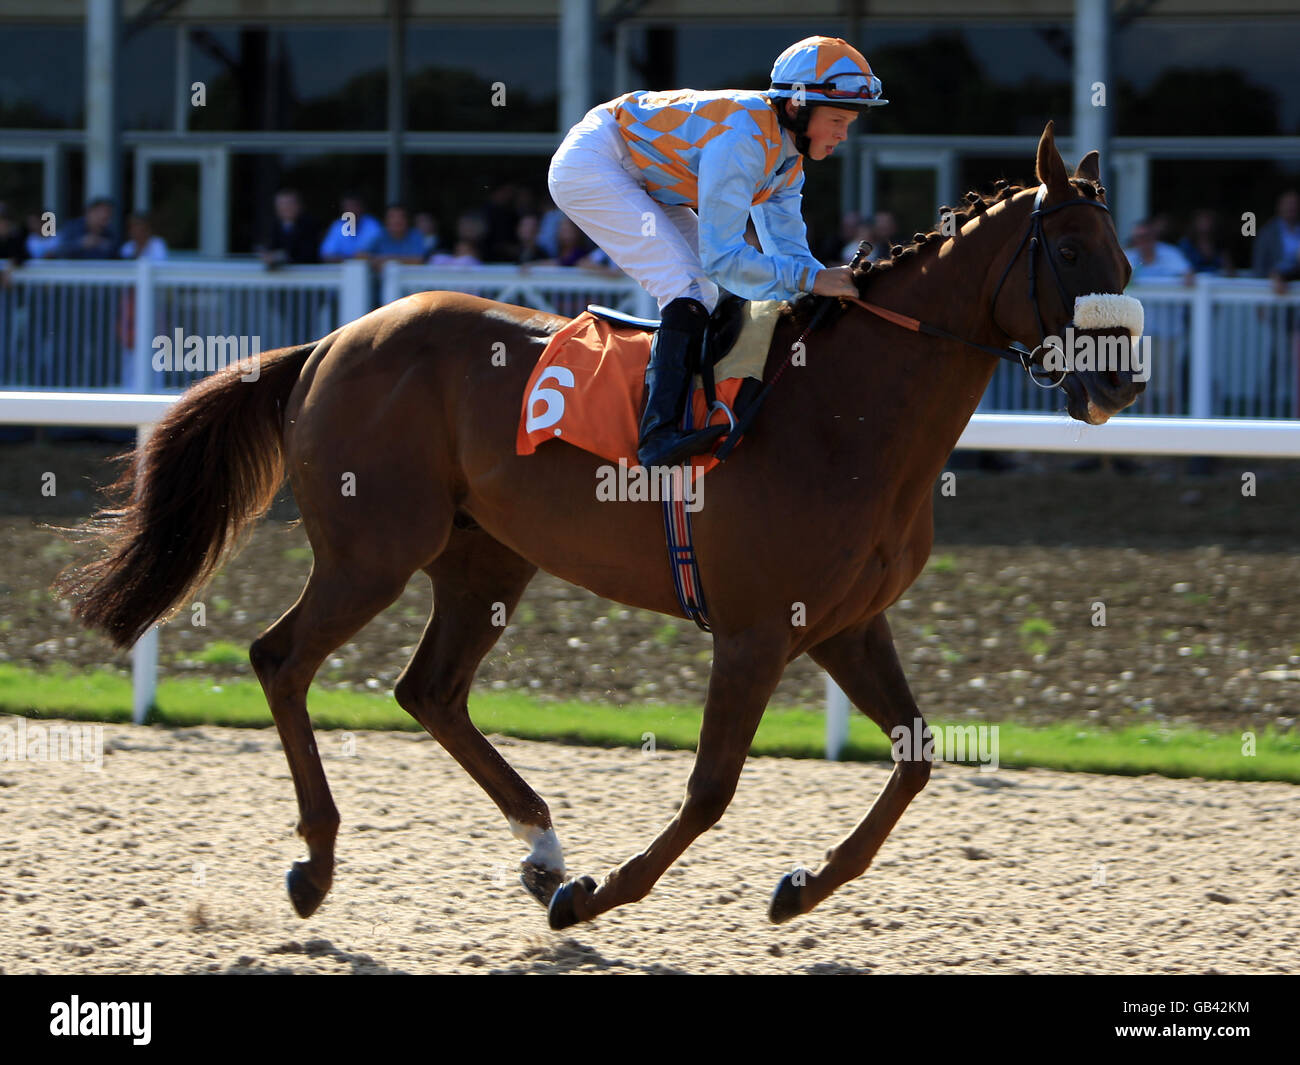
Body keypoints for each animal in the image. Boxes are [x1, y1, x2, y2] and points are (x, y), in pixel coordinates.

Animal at [58, 120, 1138, 931]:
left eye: (1126, 255)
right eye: (1069, 251)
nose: (1121, 384)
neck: (846, 414)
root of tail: (331, 340)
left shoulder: (841, 624)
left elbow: (916, 757)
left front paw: (796, 888)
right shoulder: (754, 633)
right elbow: (711, 787)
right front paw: (593, 896)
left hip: (485, 559)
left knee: (429, 690)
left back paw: (540, 845)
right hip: (372, 552)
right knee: (282, 660)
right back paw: (319, 865)